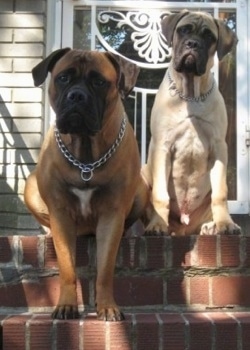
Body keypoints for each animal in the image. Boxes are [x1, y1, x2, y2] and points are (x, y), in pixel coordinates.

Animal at [24, 48, 148, 320]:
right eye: (63, 78)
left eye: (99, 82)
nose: (77, 95)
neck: (86, 157)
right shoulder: (60, 213)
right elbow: (67, 268)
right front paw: (66, 305)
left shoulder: (112, 214)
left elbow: (105, 269)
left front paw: (107, 306)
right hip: (30, 186)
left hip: (142, 190)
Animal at [144, 10, 241, 235]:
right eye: (183, 30)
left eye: (209, 36)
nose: (193, 44)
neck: (190, 95)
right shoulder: (162, 146)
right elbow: (160, 195)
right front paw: (157, 224)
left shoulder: (219, 147)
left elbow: (220, 193)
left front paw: (225, 223)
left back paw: (211, 226)